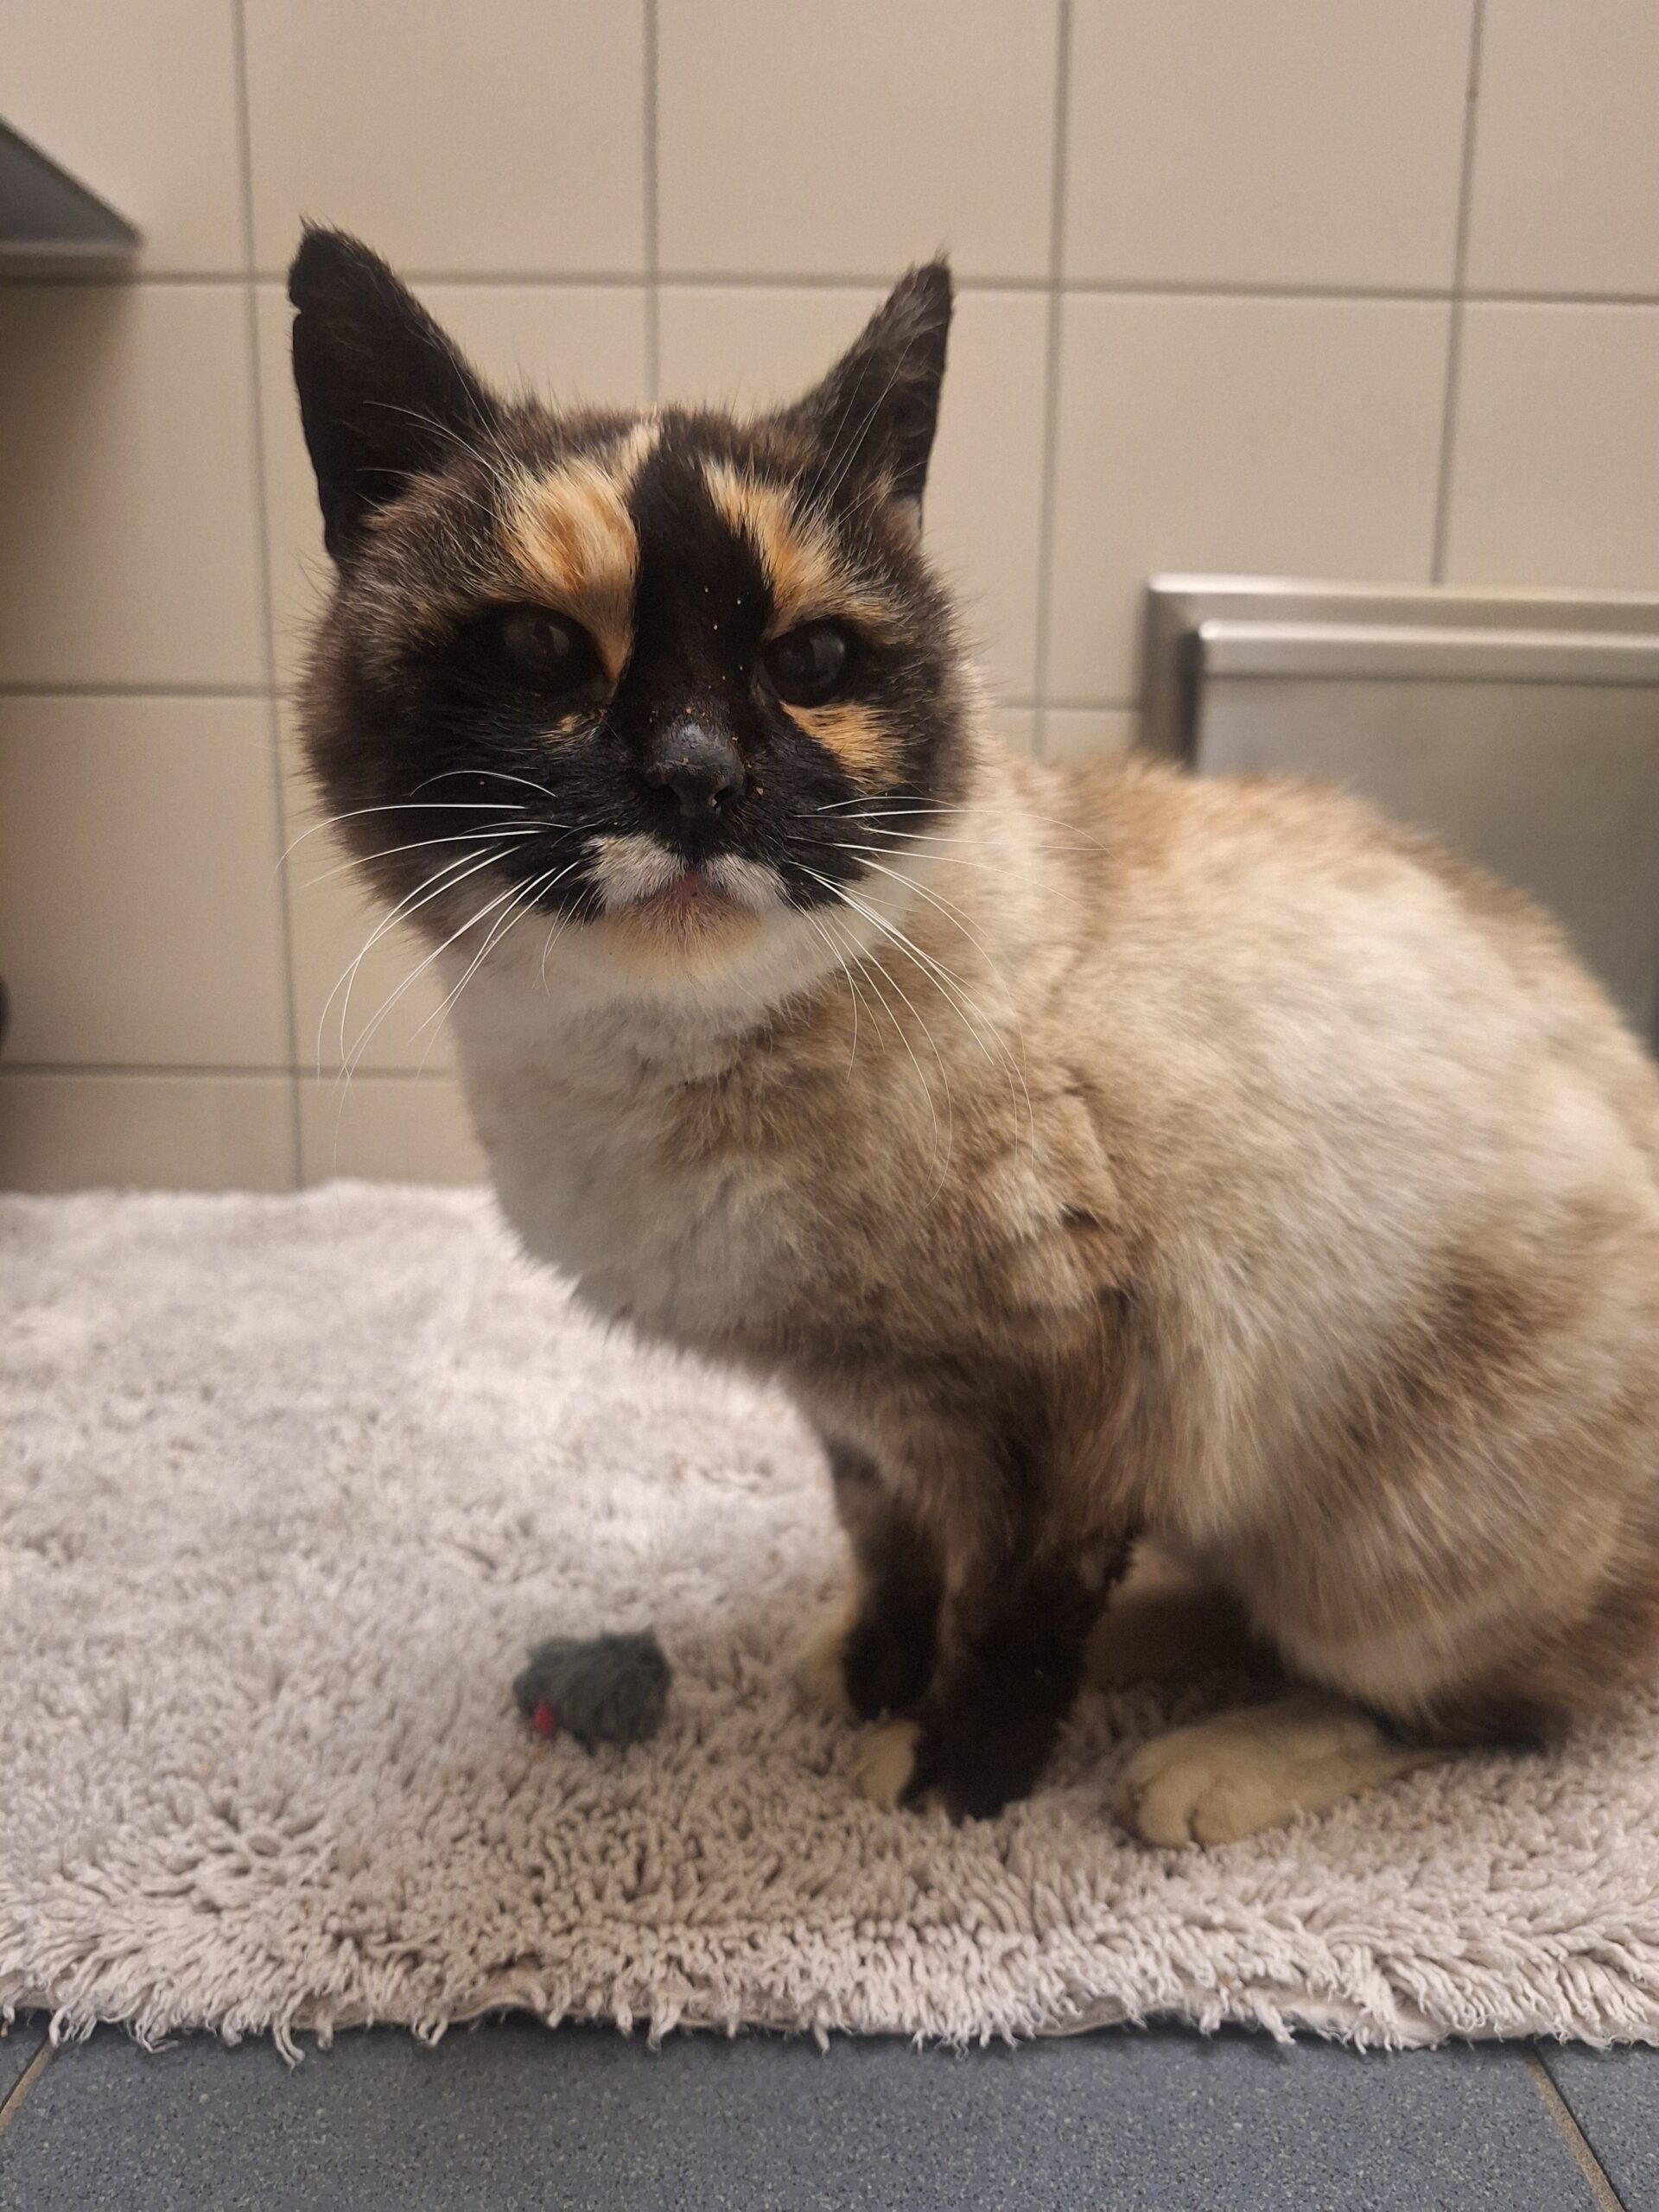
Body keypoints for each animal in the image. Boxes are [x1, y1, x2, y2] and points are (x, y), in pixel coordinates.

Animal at [290, 227, 1659, 1843]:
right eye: (538, 649)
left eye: (813, 664)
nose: (695, 781)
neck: (672, 1064)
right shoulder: (862, 1410)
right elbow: (898, 1560)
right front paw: (873, 1680)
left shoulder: (1067, 1411)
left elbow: (1012, 1618)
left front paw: (951, 1780)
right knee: (1242, 1610)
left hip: (1383, 1558)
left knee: (1467, 1708)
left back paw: (1201, 1771)